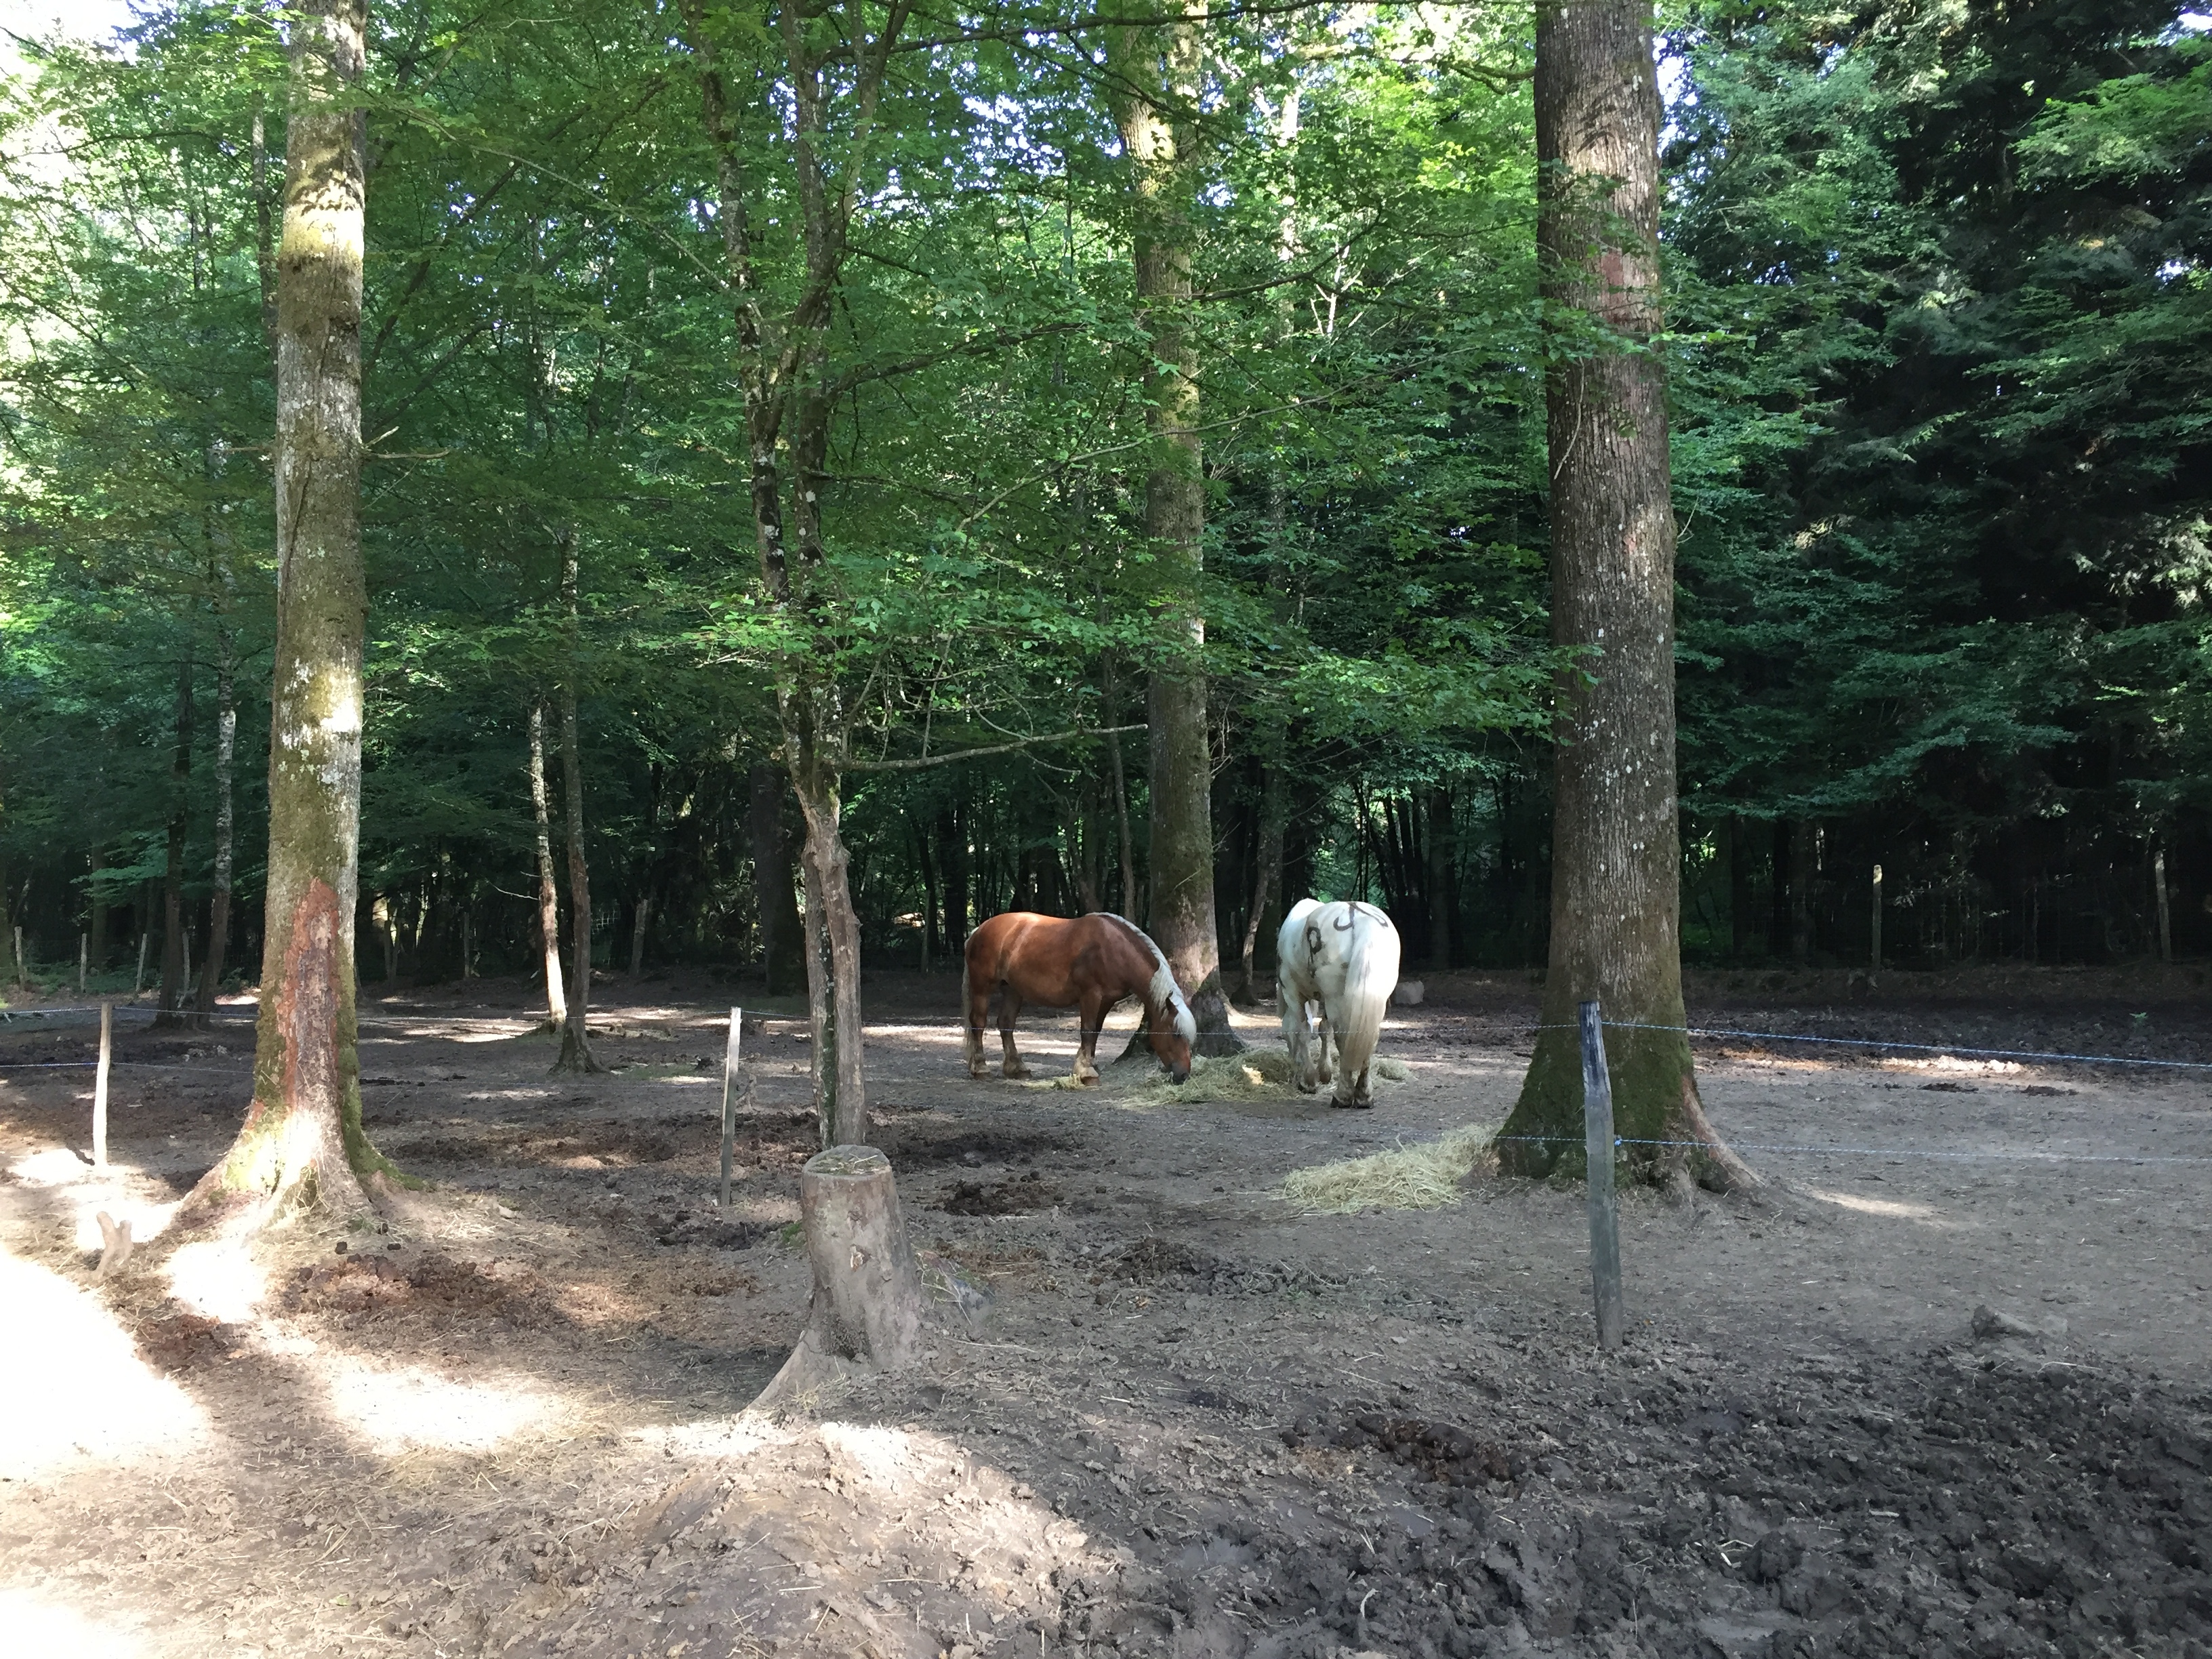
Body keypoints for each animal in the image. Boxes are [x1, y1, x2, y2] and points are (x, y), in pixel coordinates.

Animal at [964, 911, 1194, 1092]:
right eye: (1176, 1034)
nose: (1184, 1075)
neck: (1113, 949)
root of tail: (979, 930)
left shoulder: (1106, 1000)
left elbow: (1096, 1031)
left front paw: (1088, 1065)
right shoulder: (1090, 995)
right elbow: (1088, 1030)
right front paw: (1088, 1073)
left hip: (1013, 990)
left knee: (1006, 1023)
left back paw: (1018, 1068)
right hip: (983, 987)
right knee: (979, 1023)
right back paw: (981, 1069)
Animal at [1283, 902, 1397, 1110]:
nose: (1292, 1073)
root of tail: (1361, 917)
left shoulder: (1293, 992)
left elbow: (1303, 1031)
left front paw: (1308, 1080)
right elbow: (1323, 1029)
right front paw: (1324, 1073)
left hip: (1335, 998)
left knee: (1343, 1037)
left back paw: (1342, 1095)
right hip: (1373, 1001)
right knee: (1369, 1038)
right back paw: (1363, 1095)